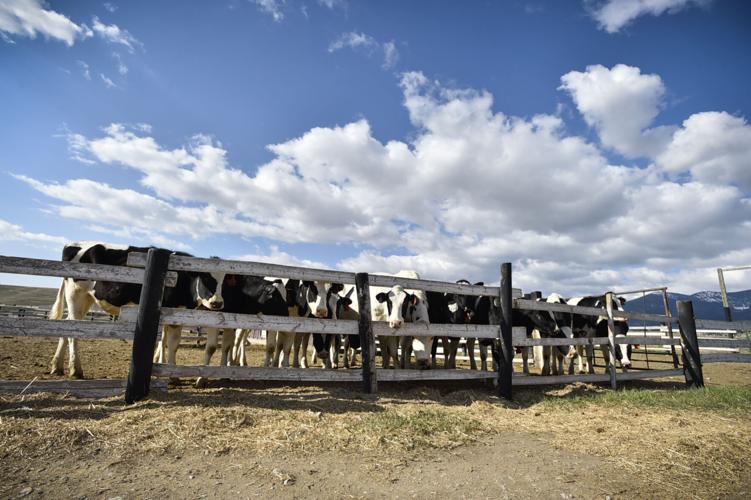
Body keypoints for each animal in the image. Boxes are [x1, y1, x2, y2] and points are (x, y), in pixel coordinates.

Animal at [49, 242, 226, 378]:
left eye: (224, 282)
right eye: (206, 278)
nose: (218, 303)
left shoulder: (176, 316)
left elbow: (171, 344)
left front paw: (170, 372)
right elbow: (164, 343)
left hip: (86, 299)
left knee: (67, 325)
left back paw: (57, 367)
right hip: (75, 294)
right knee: (72, 331)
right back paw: (75, 370)